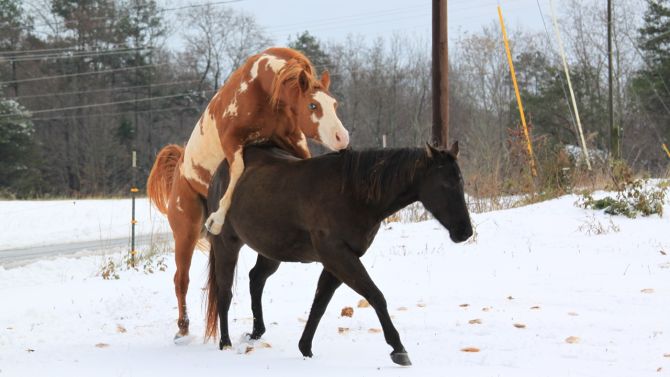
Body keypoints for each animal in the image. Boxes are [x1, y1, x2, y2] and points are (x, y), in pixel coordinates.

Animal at [148, 47, 352, 338]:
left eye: (334, 105)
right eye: (313, 106)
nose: (342, 138)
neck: (261, 88)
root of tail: (179, 170)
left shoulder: (293, 141)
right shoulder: (233, 143)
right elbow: (237, 171)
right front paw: (218, 217)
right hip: (185, 232)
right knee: (181, 280)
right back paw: (183, 328)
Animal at [205, 140, 472, 364]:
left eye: (461, 182)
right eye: (445, 183)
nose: (465, 232)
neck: (352, 194)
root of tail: (220, 172)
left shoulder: (338, 261)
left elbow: (320, 303)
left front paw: (305, 348)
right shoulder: (338, 256)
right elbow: (376, 296)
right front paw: (398, 348)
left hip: (271, 251)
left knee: (256, 279)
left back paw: (256, 331)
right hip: (226, 244)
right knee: (225, 291)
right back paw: (225, 342)